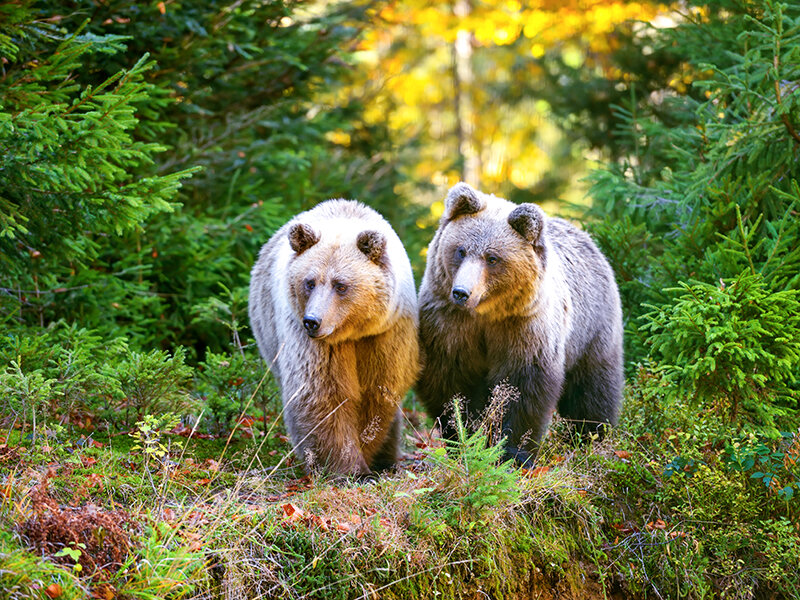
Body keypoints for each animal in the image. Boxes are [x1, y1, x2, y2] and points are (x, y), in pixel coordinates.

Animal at [250, 199, 418, 476]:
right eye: (309, 282)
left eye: (341, 285)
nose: (312, 321)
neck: (353, 330)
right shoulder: (312, 341)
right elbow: (323, 393)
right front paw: (350, 468)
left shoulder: (385, 333)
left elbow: (378, 389)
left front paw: (368, 452)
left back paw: (388, 458)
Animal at [418, 183, 624, 464]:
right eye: (460, 250)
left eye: (492, 258)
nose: (461, 292)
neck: (485, 314)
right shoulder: (449, 324)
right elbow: (451, 382)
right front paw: (463, 434)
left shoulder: (525, 327)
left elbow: (522, 387)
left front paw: (511, 451)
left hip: (593, 329)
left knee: (592, 388)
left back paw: (591, 436)